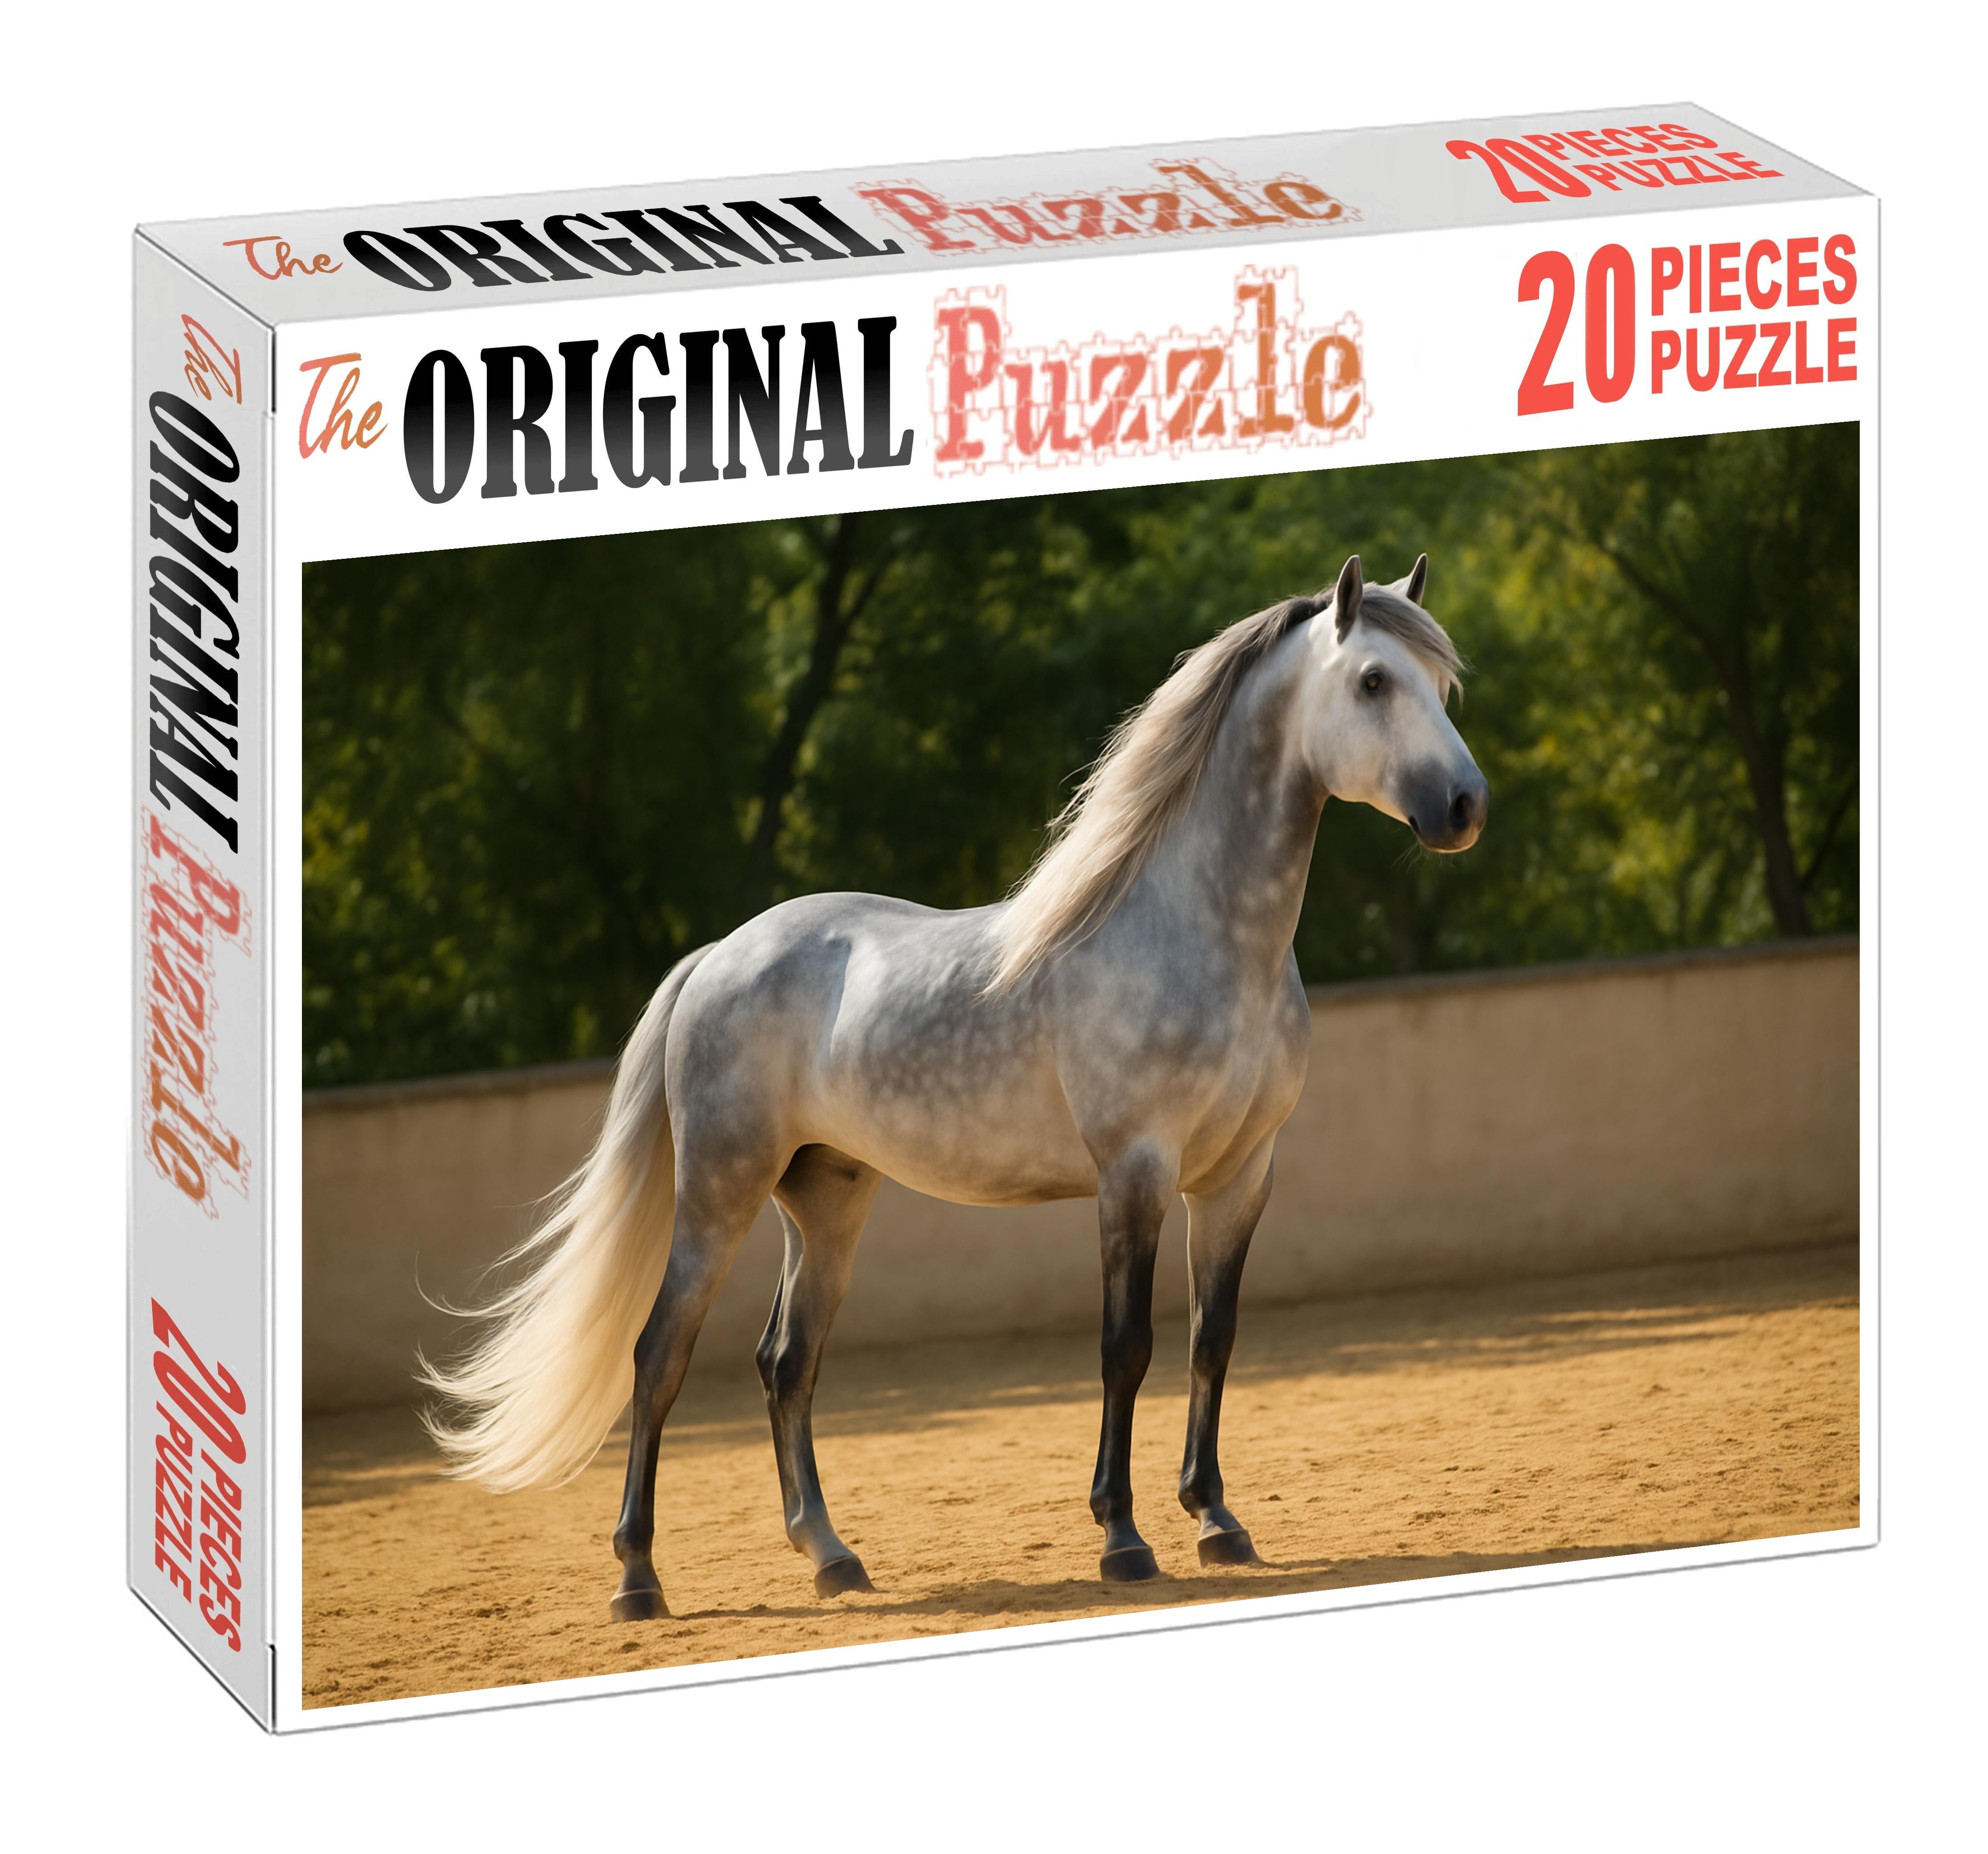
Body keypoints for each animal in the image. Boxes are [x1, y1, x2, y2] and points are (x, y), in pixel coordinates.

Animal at [419, 552, 1488, 1619]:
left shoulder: (1238, 1178)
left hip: (828, 1199)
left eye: (1439, 686)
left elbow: (1210, 1341)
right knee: (660, 1354)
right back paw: (639, 1579)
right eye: (1373, 681)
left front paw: (1217, 1521)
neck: (1201, 935)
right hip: (720, 1192)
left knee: (787, 1362)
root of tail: (719, 954)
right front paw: (1122, 1538)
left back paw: (832, 1556)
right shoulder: (1133, 1175)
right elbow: (1126, 1346)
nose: (1465, 808)